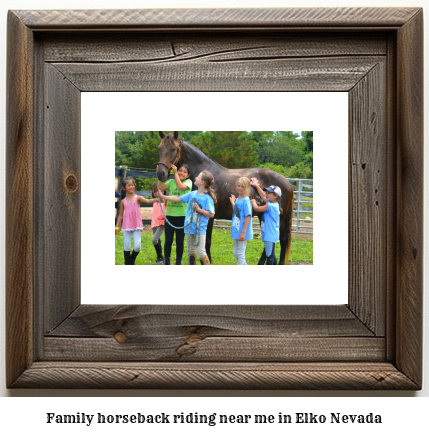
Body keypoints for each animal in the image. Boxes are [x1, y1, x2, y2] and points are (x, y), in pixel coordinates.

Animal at [156, 131, 294, 264]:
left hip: (279, 218)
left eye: (173, 149)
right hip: (263, 216)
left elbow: (206, 242)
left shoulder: (209, 216)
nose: (160, 173)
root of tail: (287, 183)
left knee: (282, 239)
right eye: (159, 148)